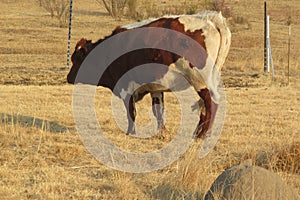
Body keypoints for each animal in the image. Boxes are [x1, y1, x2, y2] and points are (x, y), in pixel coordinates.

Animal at [67, 10, 232, 138]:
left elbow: (131, 111)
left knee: (211, 102)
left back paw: (202, 134)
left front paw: (130, 133)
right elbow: (158, 111)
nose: (69, 77)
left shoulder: (126, 87)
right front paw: (161, 133)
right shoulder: (156, 88)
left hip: (199, 79)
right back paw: (197, 133)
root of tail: (210, 18)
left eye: (76, 59)